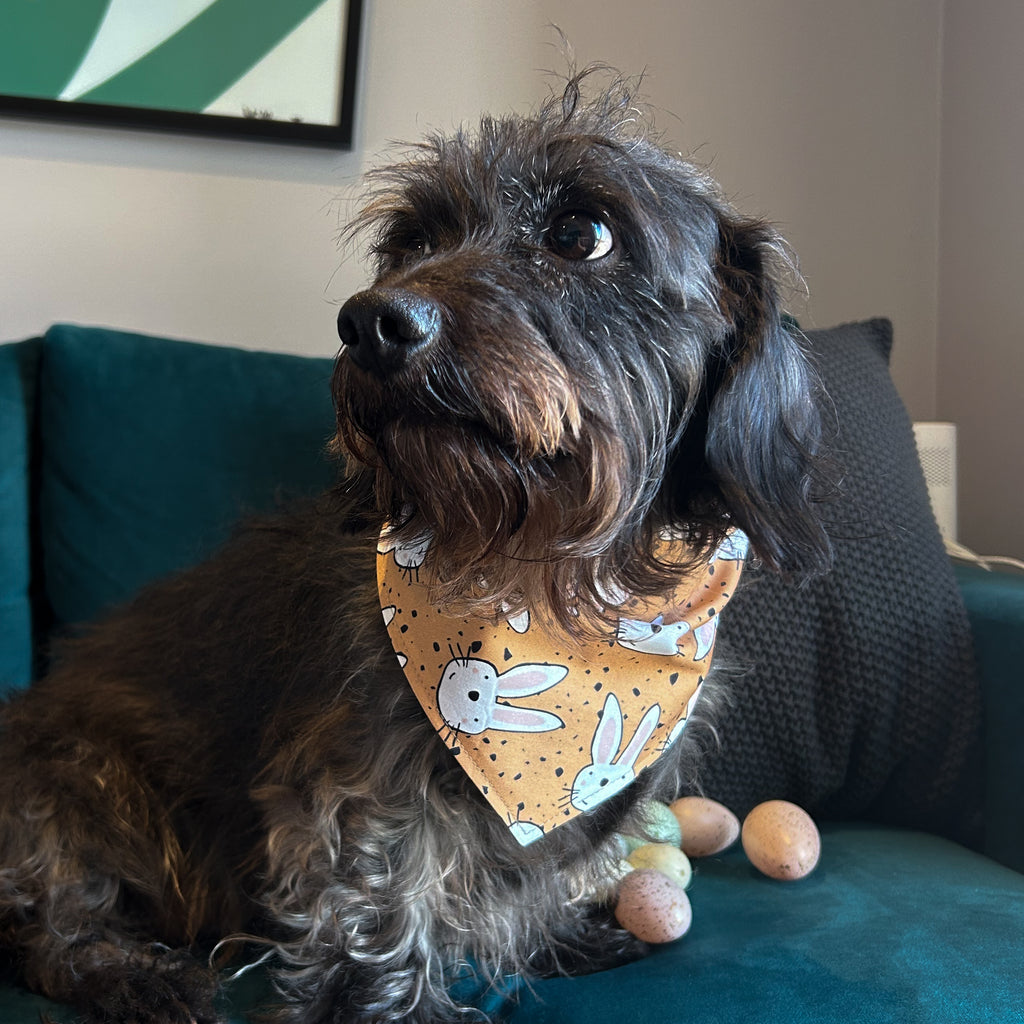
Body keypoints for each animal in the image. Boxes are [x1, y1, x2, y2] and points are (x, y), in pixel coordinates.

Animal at [0, 74, 827, 1024]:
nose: (368, 323)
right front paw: (378, 1003)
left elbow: (546, 872)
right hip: (89, 779)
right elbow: (381, 887)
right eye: (411, 243)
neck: (555, 580)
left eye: (581, 233)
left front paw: (555, 938)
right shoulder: (366, 776)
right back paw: (129, 972)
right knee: (45, 923)